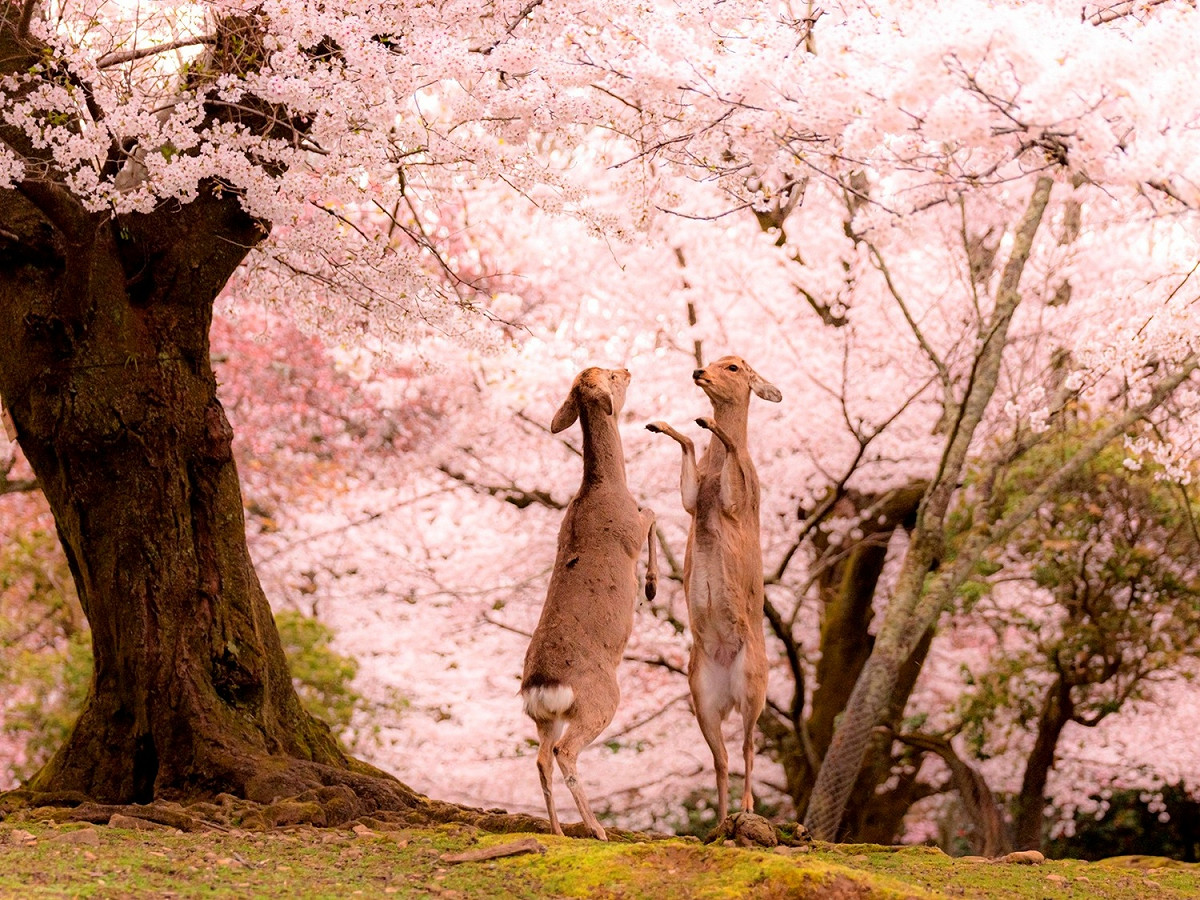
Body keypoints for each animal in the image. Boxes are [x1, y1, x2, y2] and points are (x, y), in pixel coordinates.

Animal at [521, 366, 658, 840]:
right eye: (612, 376)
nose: (629, 369)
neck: (606, 487)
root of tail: (541, 685)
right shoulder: (633, 528)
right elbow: (654, 512)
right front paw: (650, 588)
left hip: (544, 717)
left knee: (541, 757)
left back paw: (559, 832)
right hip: (600, 701)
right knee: (565, 751)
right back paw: (597, 829)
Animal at [646, 355, 782, 823]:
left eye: (735, 367)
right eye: (715, 361)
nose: (698, 372)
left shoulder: (737, 500)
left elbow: (734, 449)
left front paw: (706, 420)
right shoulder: (692, 500)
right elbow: (688, 451)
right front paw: (659, 424)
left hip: (754, 684)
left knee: (748, 745)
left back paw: (746, 809)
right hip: (701, 695)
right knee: (721, 756)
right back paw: (720, 821)